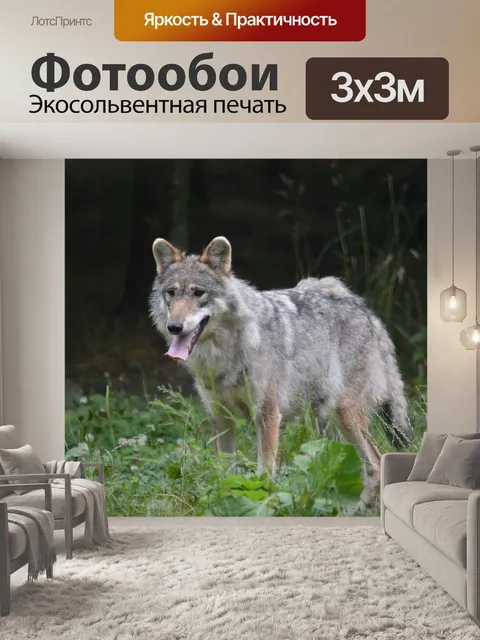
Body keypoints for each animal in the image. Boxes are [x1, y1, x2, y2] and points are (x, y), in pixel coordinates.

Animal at [149, 236, 411, 506]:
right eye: (172, 293)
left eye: (198, 293)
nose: (174, 327)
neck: (225, 352)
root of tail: (367, 312)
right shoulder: (221, 418)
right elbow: (225, 474)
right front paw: (225, 504)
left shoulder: (267, 415)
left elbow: (264, 475)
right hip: (324, 422)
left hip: (345, 414)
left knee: (376, 464)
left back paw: (356, 509)